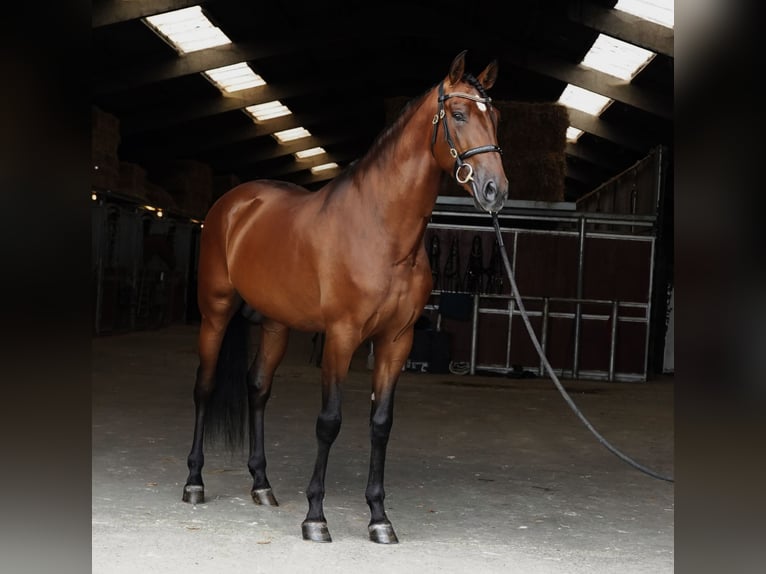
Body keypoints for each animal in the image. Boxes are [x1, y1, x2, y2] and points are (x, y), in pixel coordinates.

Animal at [182, 49, 510, 544]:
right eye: (458, 114)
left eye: (496, 117)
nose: (495, 191)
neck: (382, 230)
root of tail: (234, 203)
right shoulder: (341, 337)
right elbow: (329, 422)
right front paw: (315, 517)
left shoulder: (396, 341)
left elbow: (380, 425)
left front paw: (379, 517)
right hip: (216, 313)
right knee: (204, 388)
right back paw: (194, 482)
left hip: (277, 324)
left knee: (258, 389)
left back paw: (262, 485)